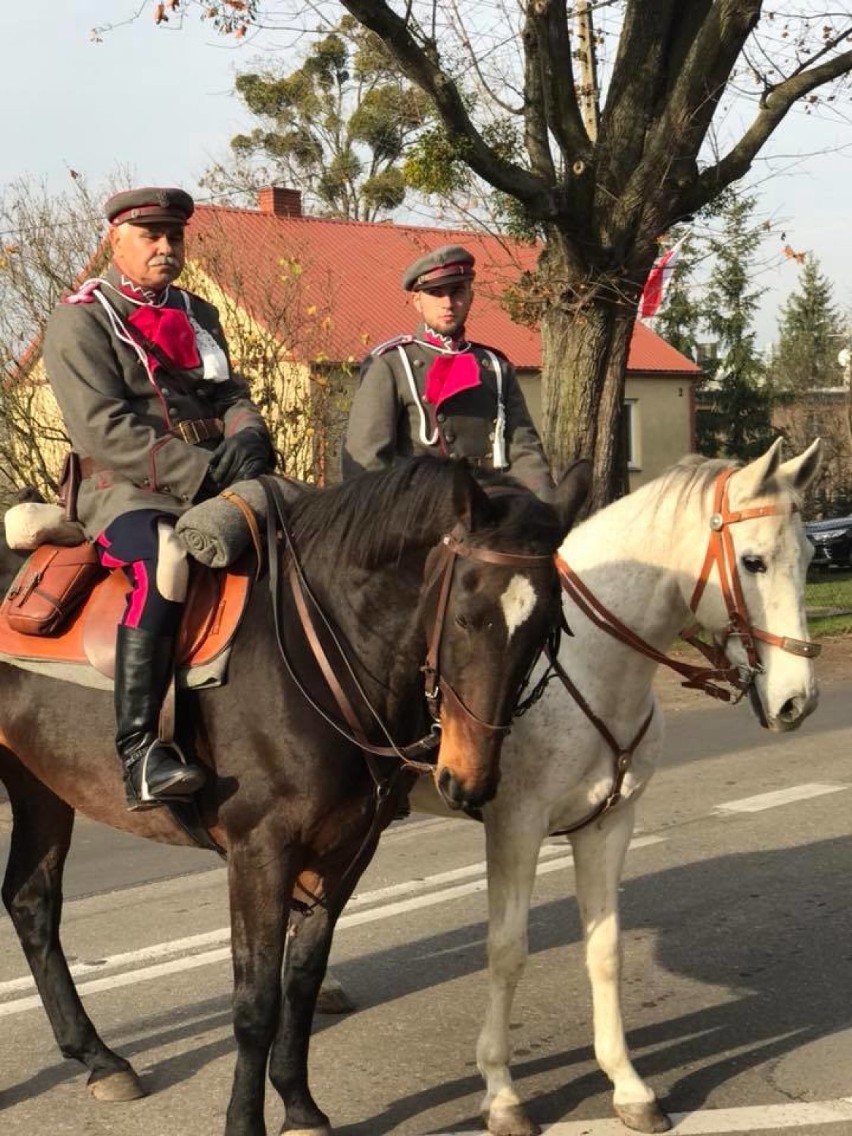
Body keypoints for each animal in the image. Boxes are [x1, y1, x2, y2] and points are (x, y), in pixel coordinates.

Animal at [0, 458, 586, 1136]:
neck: (321, 651)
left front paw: (300, 1106)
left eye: (546, 627)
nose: (469, 780)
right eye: (467, 616)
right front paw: (245, 1122)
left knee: (31, 902)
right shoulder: (261, 851)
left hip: (41, 786)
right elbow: (256, 1000)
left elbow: (302, 979)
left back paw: (99, 1058)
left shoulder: (348, 847)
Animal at [411, 438, 822, 1136]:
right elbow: (507, 950)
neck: (583, 667)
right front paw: (501, 1091)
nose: (798, 701)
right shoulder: (515, 828)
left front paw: (627, 1083)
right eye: (754, 560)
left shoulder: (609, 825)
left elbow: (605, 951)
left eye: (812, 556)